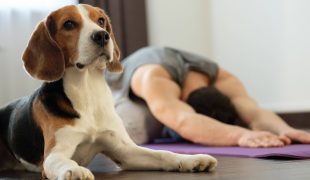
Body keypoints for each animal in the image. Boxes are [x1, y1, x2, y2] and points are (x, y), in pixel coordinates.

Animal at [0, 4, 217, 180]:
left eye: (101, 21)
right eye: (68, 24)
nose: (102, 35)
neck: (87, 91)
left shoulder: (125, 151)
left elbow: (163, 154)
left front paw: (191, 159)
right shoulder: (55, 153)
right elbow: (64, 161)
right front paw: (75, 170)